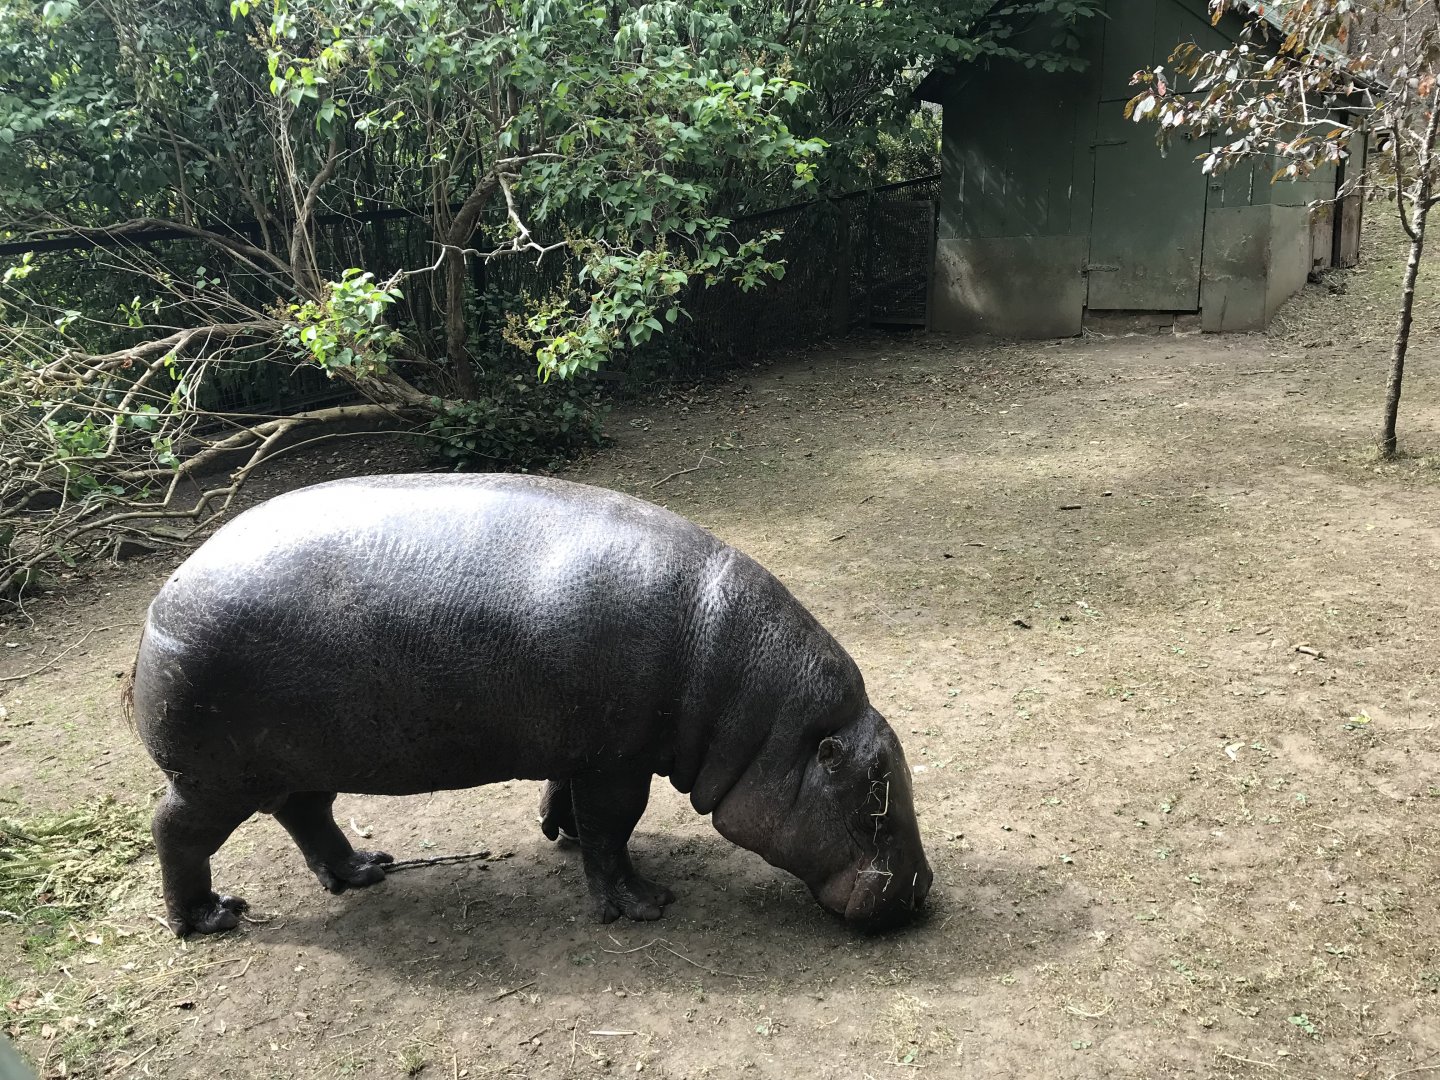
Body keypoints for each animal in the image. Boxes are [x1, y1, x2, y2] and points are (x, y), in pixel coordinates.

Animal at [127, 474, 932, 936]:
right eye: (875, 796)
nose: (923, 890)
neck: (762, 716)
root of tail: (161, 599)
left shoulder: (588, 748)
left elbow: (572, 802)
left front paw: (557, 831)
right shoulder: (618, 759)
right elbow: (613, 829)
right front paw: (644, 906)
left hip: (299, 759)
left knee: (308, 815)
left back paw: (366, 871)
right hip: (215, 780)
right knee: (176, 830)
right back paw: (211, 919)